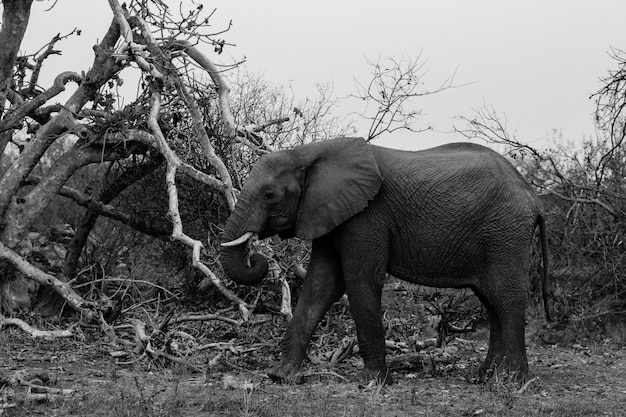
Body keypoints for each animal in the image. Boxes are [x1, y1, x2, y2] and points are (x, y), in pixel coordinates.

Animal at [219, 136, 544, 384]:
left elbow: (360, 281)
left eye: (269, 195)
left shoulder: (366, 216)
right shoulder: (327, 212)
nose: (257, 258)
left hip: (505, 232)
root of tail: (532, 195)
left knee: (505, 297)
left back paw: (510, 382)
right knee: (491, 301)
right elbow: (321, 286)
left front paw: (372, 382)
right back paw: (485, 376)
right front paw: (281, 376)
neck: (309, 153)